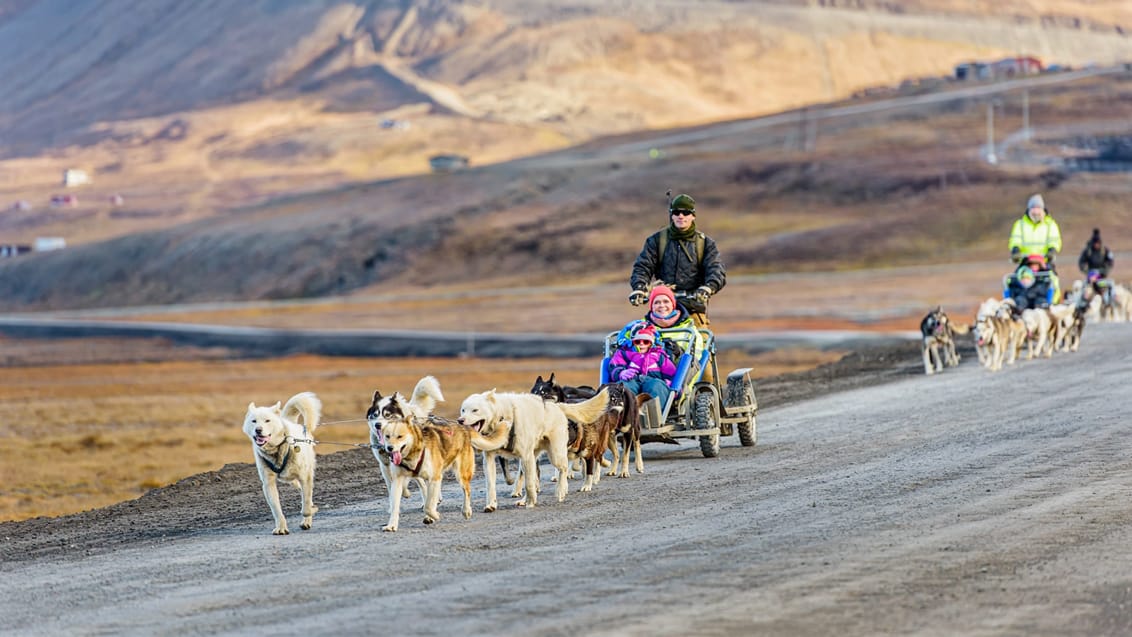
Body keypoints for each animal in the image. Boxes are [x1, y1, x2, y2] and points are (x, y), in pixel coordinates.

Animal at [243, 391, 321, 536]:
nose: (258, 430)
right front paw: (281, 527)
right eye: (254, 421)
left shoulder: (305, 478)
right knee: (299, 489)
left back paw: (307, 520)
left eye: (267, 420)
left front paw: (311, 511)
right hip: (291, 480)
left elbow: (306, 507)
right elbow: (276, 509)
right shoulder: (268, 484)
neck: (277, 449)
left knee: (306, 497)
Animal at [457, 386, 611, 511]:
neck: (502, 416)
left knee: (562, 468)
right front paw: (491, 505)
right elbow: (491, 485)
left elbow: (530, 484)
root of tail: (557, 406)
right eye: (463, 410)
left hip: (553, 454)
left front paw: (531, 503)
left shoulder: (526, 456)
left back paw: (561, 490)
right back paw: (525, 499)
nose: (460, 420)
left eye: (475, 410)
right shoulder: (489, 458)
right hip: (533, 457)